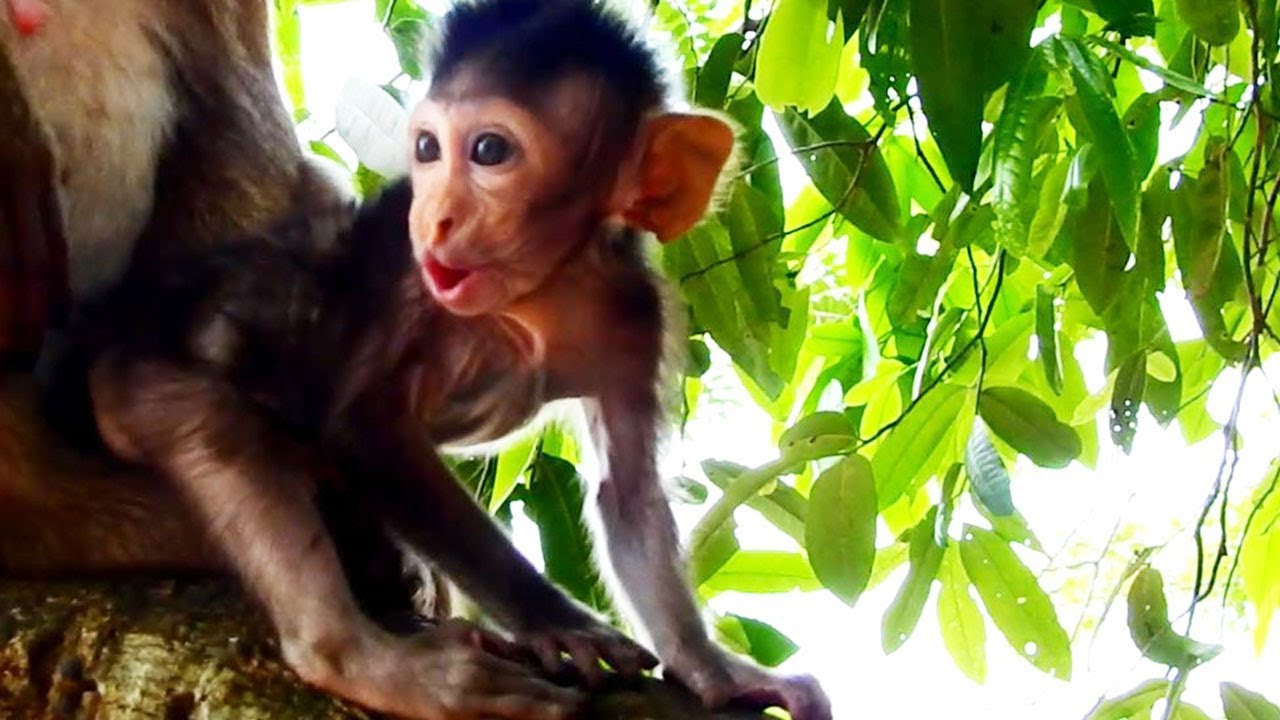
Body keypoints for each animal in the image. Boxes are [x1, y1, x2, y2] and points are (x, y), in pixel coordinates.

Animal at [37, 1, 835, 719]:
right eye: (426, 150)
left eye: (488, 152)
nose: (436, 216)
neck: (535, 299)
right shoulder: (409, 282)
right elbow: (364, 431)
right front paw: (556, 619)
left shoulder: (638, 316)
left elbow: (629, 493)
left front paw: (714, 669)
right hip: (127, 384)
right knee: (210, 421)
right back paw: (356, 659)